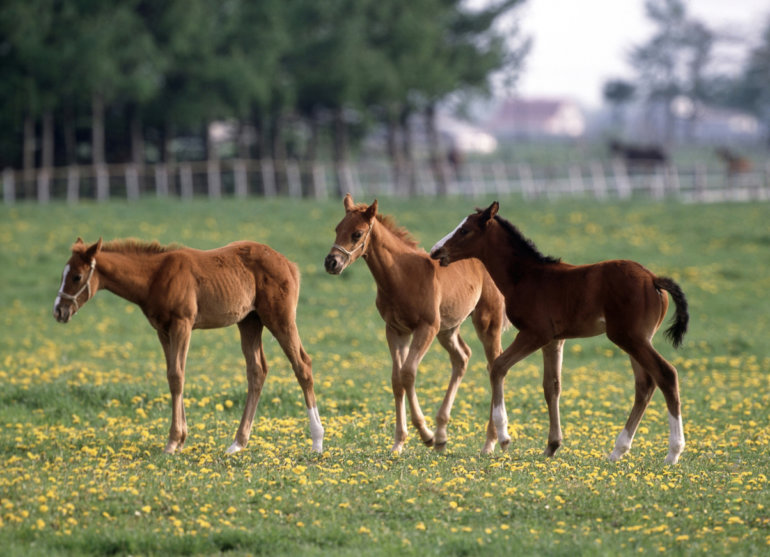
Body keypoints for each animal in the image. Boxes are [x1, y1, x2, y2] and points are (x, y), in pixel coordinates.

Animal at [51, 237, 320, 454]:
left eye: (76, 276)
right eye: (63, 274)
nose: (59, 311)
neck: (155, 276)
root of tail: (288, 264)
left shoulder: (183, 324)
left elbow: (177, 376)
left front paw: (172, 442)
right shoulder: (163, 331)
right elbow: (173, 376)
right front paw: (180, 439)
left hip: (280, 318)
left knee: (302, 365)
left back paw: (317, 441)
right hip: (249, 321)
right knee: (257, 371)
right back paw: (237, 444)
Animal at [322, 193, 510, 454]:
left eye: (357, 234)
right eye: (337, 228)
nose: (331, 263)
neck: (402, 275)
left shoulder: (426, 328)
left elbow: (408, 373)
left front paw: (425, 434)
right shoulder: (395, 330)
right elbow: (396, 379)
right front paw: (399, 443)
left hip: (486, 321)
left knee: (494, 365)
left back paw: (489, 442)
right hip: (448, 328)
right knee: (462, 357)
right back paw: (442, 435)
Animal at [428, 202, 688, 462]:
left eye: (465, 230)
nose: (435, 251)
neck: (526, 276)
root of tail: (653, 279)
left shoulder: (535, 334)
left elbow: (498, 367)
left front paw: (504, 436)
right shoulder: (554, 341)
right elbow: (551, 386)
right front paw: (552, 445)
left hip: (630, 338)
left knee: (666, 374)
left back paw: (673, 452)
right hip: (636, 339)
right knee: (644, 384)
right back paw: (618, 450)